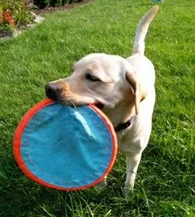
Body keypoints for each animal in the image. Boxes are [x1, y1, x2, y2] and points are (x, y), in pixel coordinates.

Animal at [45, 5, 158, 197]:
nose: (49, 89)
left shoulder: (135, 155)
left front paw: (127, 196)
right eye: (73, 70)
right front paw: (100, 188)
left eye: (92, 77)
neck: (117, 125)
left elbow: (130, 178)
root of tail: (137, 55)